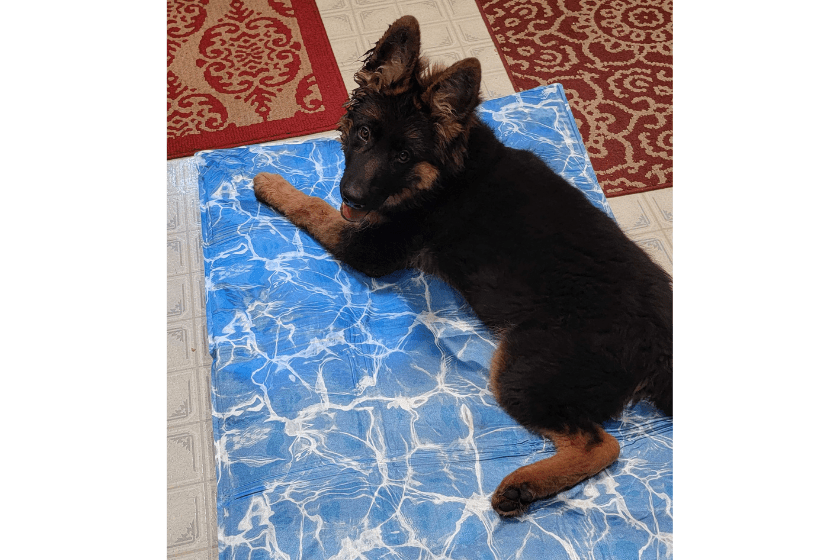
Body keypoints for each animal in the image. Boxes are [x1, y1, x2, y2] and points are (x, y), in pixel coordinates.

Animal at [253, 15, 672, 520]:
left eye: (403, 155)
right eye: (366, 134)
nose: (352, 196)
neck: (449, 171)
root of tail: (660, 340)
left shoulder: (371, 248)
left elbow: (312, 207)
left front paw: (272, 183)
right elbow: (324, 205)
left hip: (523, 368)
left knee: (602, 445)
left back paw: (523, 486)